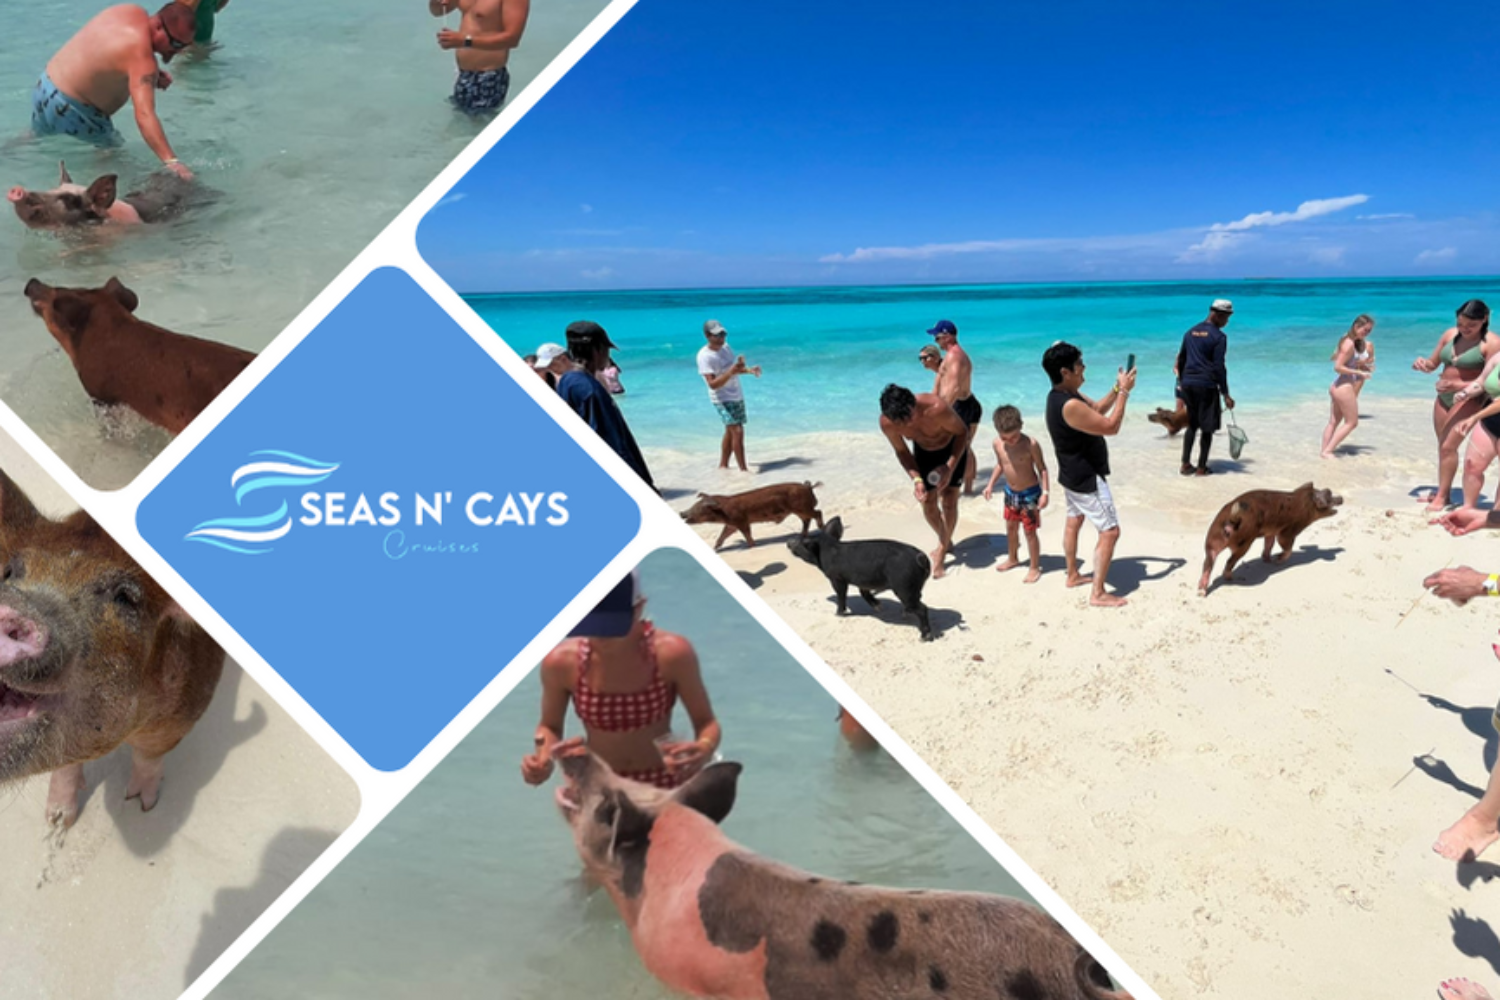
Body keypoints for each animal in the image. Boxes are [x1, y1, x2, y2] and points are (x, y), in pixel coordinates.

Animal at [0, 469, 224, 828]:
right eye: (10, 571)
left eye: (125, 598)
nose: (12, 602)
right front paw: (57, 822)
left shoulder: (188, 710)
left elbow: (149, 756)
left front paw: (142, 805)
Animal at [682, 481, 825, 550]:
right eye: (694, 505)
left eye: (697, 508)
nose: (682, 513)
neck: (723, 511)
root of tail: (808, 486)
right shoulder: (731, 524)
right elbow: (723, 535)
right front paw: (715, 548)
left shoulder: (741, 521)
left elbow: (747, 534)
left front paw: (751, 546)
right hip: (800, 510)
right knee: (807, 520)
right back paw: (802, 536)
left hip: (802, 507)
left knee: (818, 512)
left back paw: (821, 529)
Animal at [788, 516, 934, 640]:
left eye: (801, 542)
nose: (788, 543)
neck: (826, 550)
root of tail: (920, 557)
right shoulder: (863, 580)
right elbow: (863, 592)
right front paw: (878, 607)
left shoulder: (836, 578)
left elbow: (841, 594)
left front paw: (838, 614)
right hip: (913, 586)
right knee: (918, 599)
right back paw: (905, 613)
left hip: (903, 586)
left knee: (922, 608)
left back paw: (924, 637)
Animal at [1198, 482, 1343, 596]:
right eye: (1329, 497)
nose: (1341, 498)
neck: (1305, 505)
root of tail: (1233, 519)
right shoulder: (1287, 532)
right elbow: (1287, 547)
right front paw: (1277, 560)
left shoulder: (1270, 532)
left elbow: (1269, 544)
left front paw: (1267, 560)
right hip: (1243, 542)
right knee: (1229, 562)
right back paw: (1230, 578)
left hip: (1212, 538)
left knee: (1208, 563)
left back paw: (1201, 592)